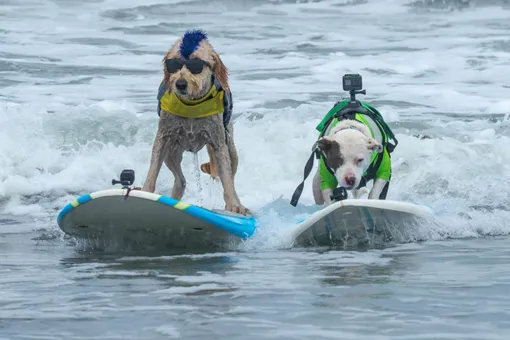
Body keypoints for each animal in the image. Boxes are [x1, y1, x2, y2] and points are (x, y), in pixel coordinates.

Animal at [142, 29, 250, 215]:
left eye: (196, 64)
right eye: (174, 64)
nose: (180, 84)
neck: (191, 104)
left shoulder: (218, 141)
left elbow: (227, 179)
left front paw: (234, 205)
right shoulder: (163, 136)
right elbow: (153, 169)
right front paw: (145, 192)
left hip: (231, 149)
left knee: (231, 174)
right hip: (171, 152)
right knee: (180, 180)